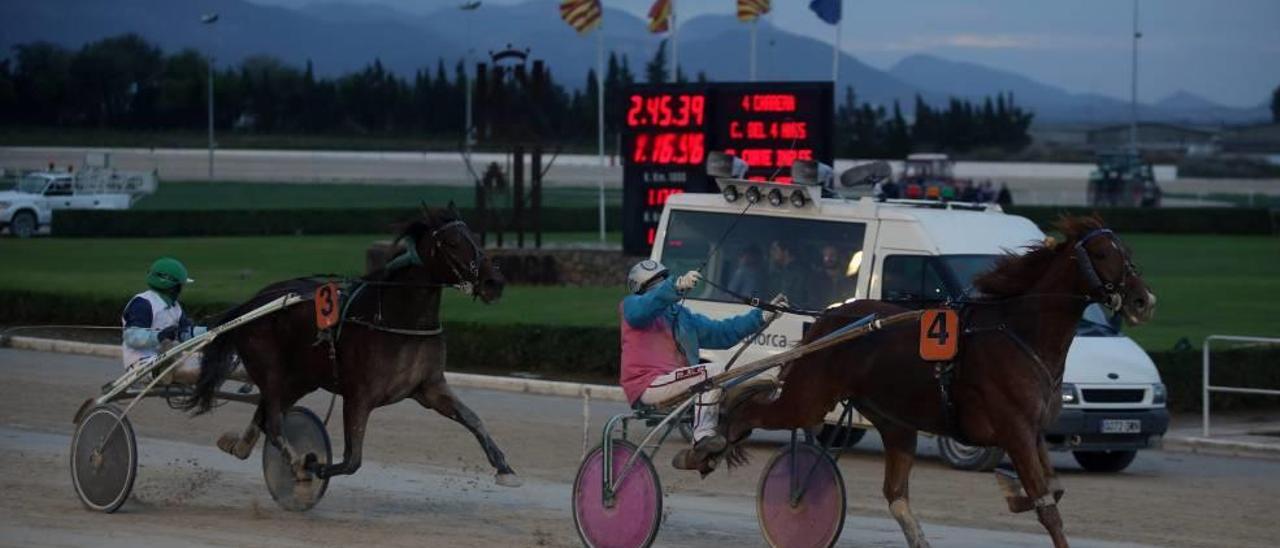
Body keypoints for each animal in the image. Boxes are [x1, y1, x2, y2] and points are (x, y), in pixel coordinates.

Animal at [181, 203, 519, 489]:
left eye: (474, 238)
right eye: (450, 243)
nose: (494, 282)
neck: (400, 322)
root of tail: (253, 303)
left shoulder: (429, 386)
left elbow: (473, 419)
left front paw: (505, 469)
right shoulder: (359, 396)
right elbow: (351, 460)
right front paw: (312, 464)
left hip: (302, 378)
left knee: (266, 416)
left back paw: (238, 444)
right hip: (270, 368)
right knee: (274, 423)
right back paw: (296, 464)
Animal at [727, 217, 1157, 548]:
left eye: (1127, 252)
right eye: (1101, 254)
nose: (1144, 301)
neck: (1022, 333)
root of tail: (827, 319)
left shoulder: (1033, 430)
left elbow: (1053, 489)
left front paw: (1012, 491)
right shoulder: (1014, 429)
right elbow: (1048, 509)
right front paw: (1021, 494)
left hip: (895, 421)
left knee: (895, 495)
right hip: (809, 398)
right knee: (747, 410)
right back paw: (717, 440)